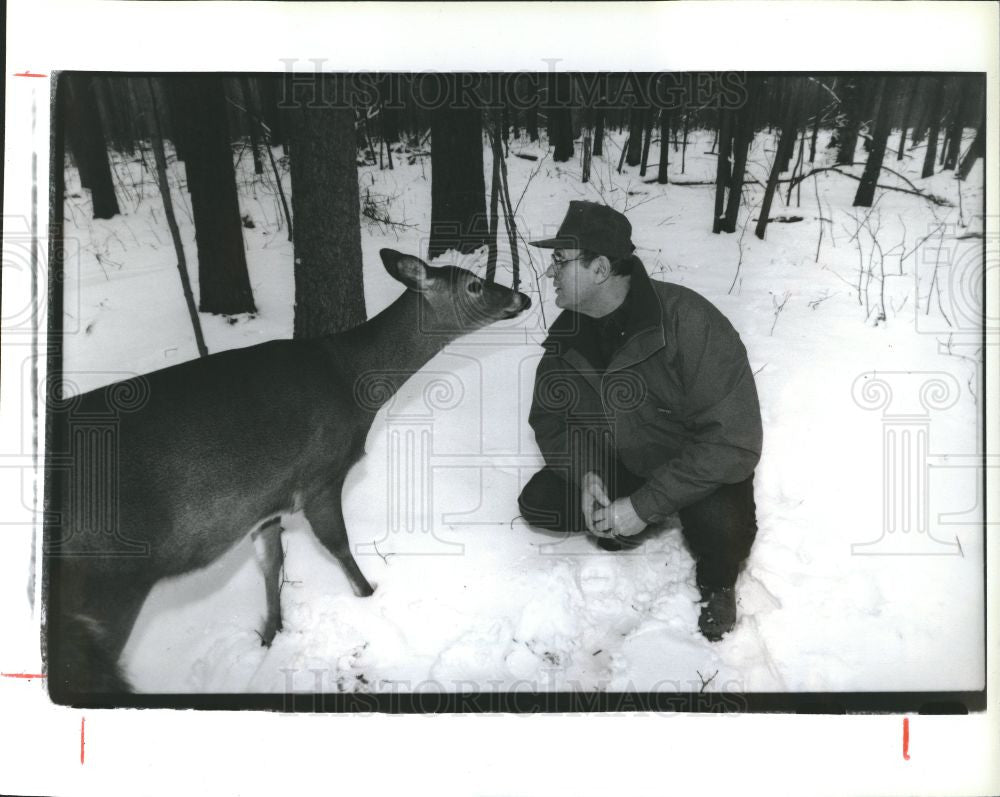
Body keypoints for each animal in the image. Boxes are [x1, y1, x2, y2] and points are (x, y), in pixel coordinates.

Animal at [45, 247, 532, 696]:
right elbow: (339, 546)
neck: (353, 383)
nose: (522, 297)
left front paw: (270, 633)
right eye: (474, 285)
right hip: (109, 577)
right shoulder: (319, 476)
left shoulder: (266, 500)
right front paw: (369, 596)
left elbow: (271, 563)